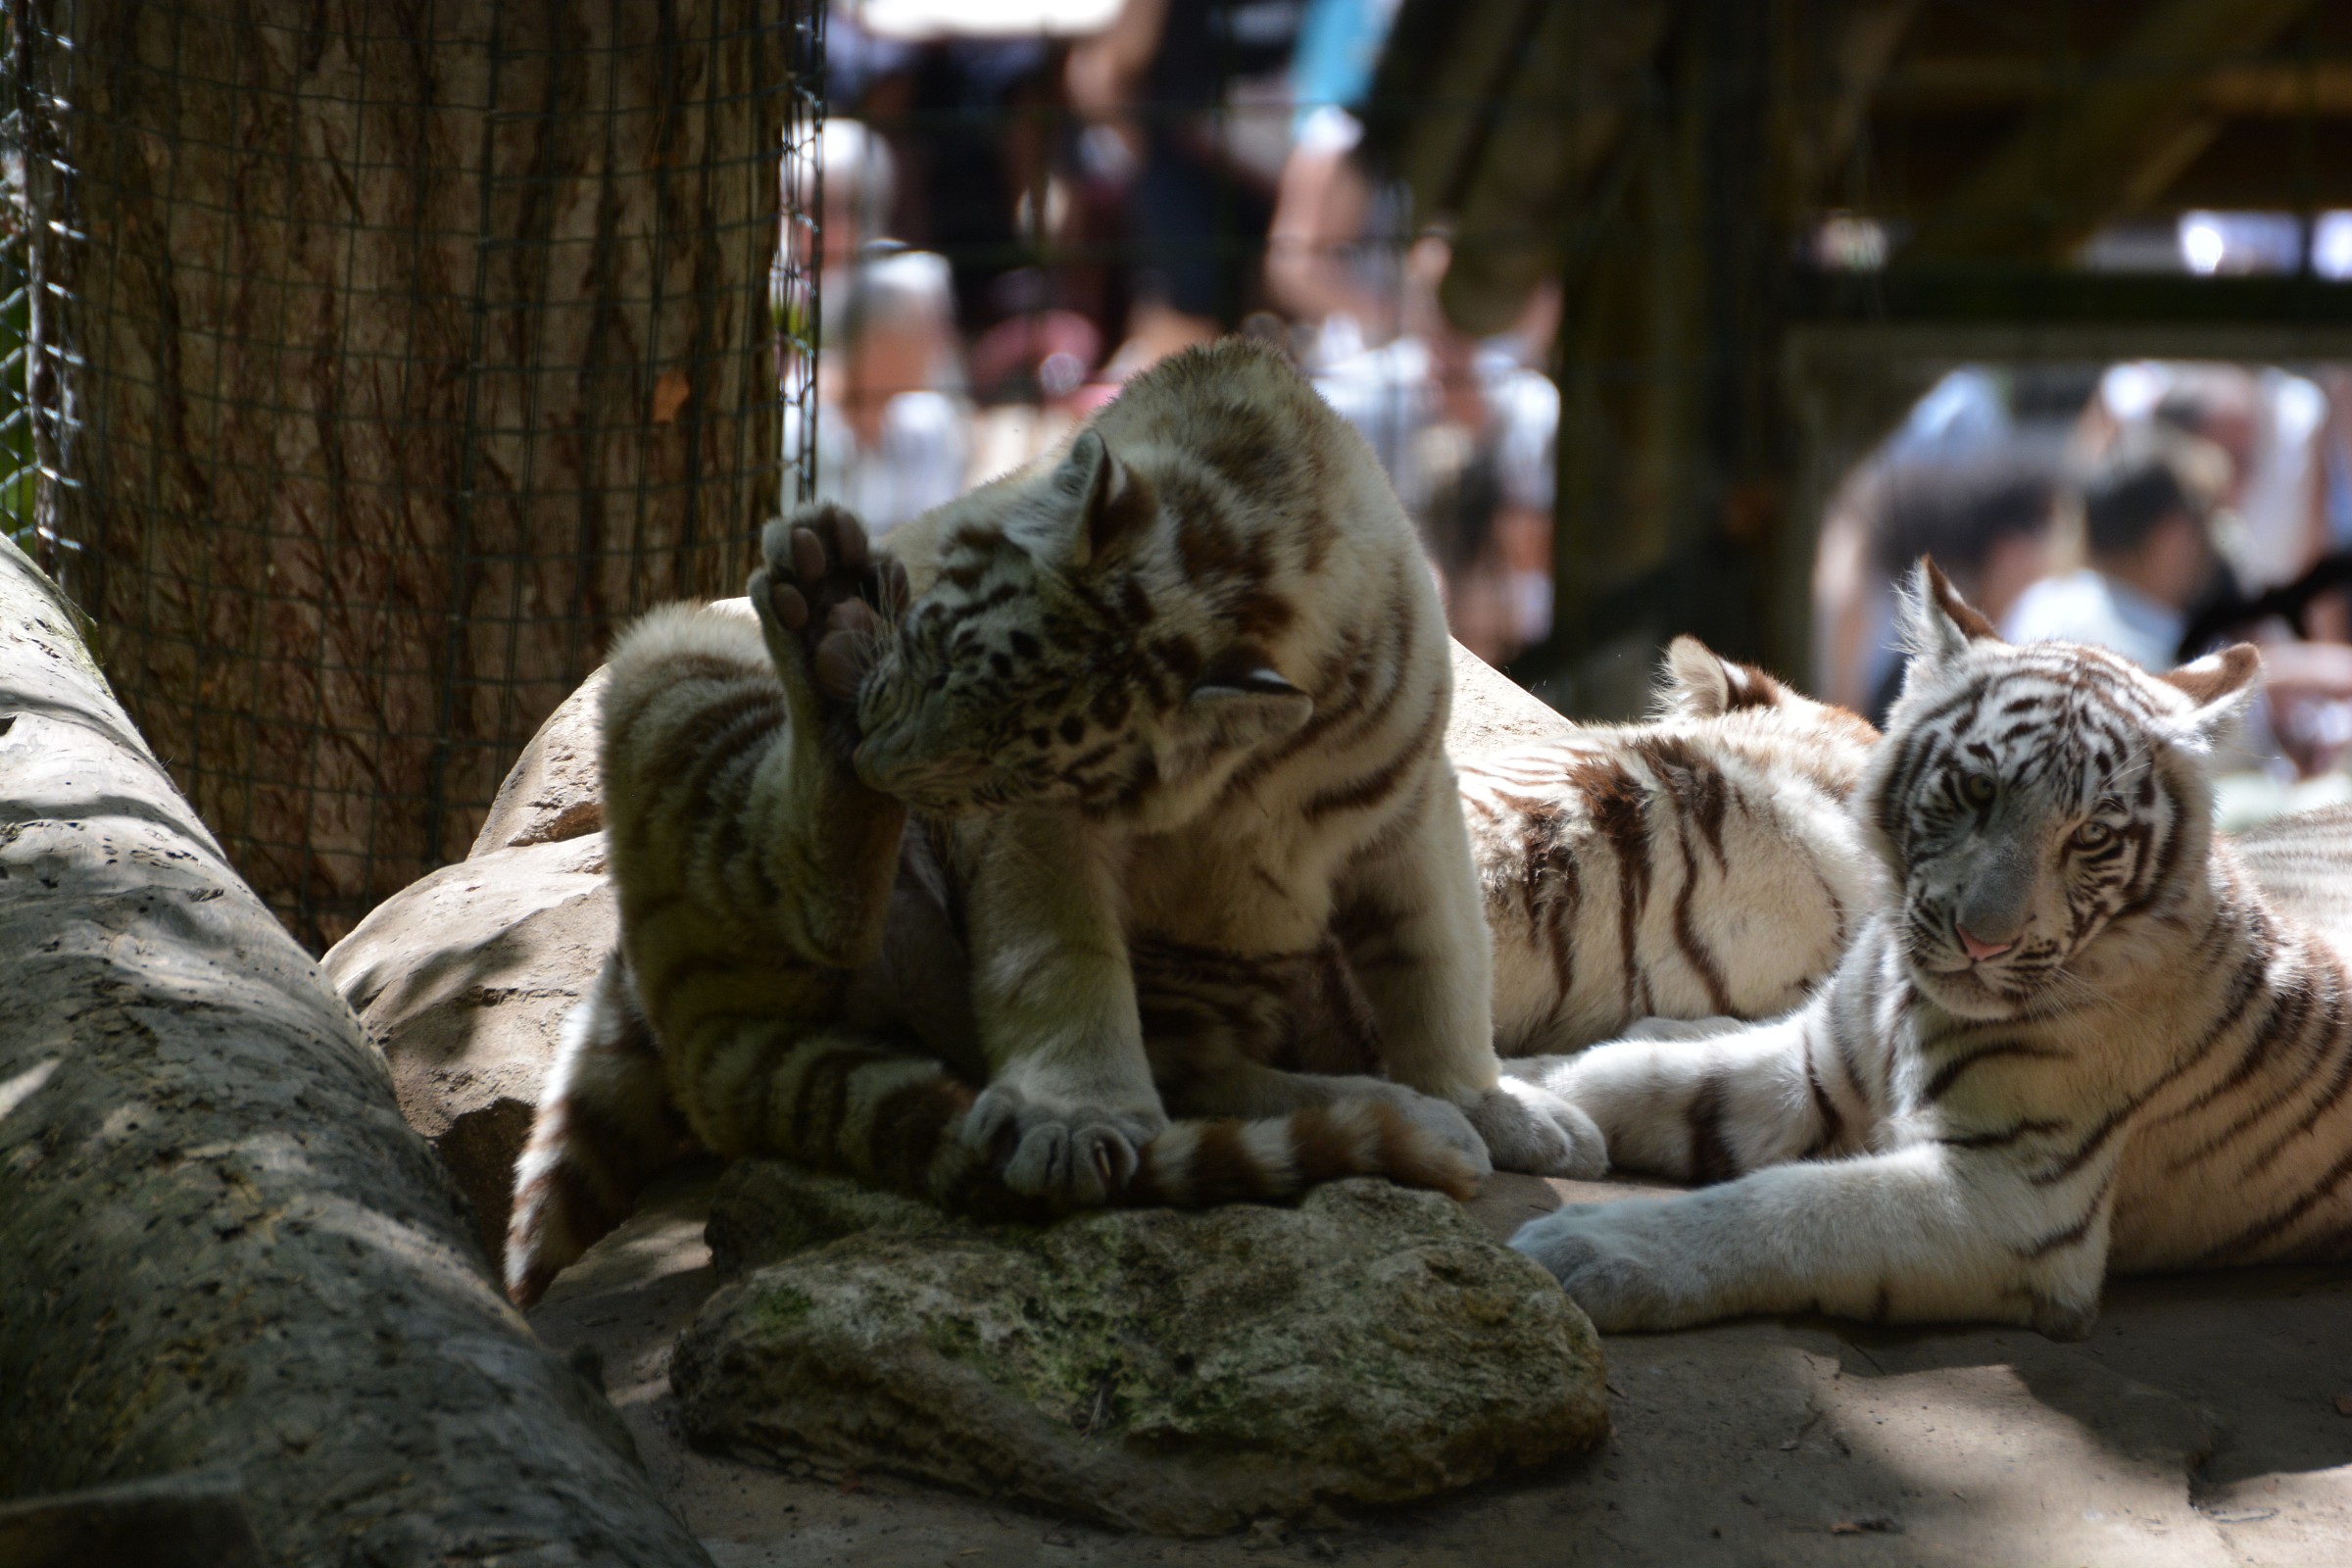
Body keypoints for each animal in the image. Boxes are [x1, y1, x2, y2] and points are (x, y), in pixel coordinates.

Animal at [504, 339, 1598, 1306]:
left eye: (1006, 756)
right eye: (931, 653)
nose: (881, 764)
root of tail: (692, 1021)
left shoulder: (1406, 805)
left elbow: (1437, 962)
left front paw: (1481, 1098)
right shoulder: (1046, 834)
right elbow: (1061, 956)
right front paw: (1073, 1121)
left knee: (1197, 1067)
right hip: (675, 667)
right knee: (814, 896)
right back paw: (822, 611)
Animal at [1503, 560, 2349, 1340]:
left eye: (2093, 837)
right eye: (1979, 790)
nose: (1984, 940)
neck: (1905, 995)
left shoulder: (2005, 1199)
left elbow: (1790, 1204)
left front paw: (1588, 1248)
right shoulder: (1810, 1067)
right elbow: (1627, 1073)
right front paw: (1523, 1100)